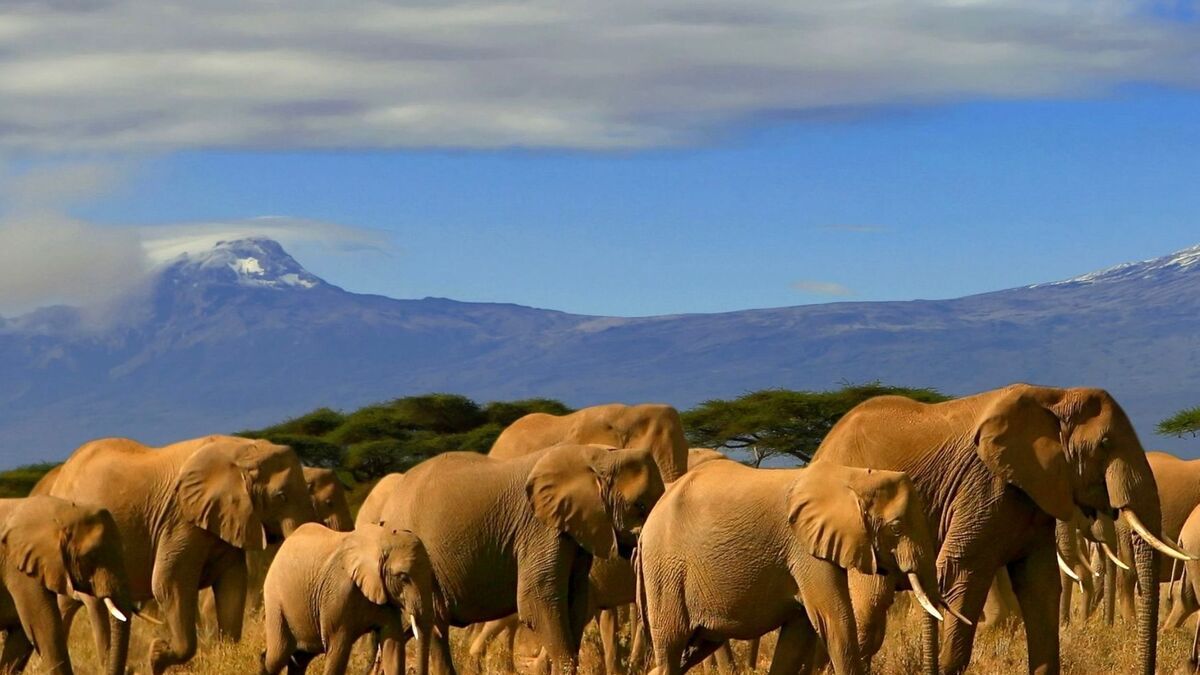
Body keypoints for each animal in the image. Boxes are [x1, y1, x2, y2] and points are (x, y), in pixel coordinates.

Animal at [37, 434, 318, 674]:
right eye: (280, 496)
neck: (245, 450)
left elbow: (233, 585)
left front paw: (227, 655)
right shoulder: (180, 519)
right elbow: (168, 583)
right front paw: (156, 656)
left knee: (65, 605)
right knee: (95, 606)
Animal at [261, 522, 434, 675]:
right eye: (403, 577)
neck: (382, 540)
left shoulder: (384, 595)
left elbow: (393, 646)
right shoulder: (337, 594)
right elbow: (337, 649)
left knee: (300, 659)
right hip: (275, 601)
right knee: (278, 655)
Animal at [367, 443, 664, 675]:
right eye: (639, 506)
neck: (597, 455)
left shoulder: (576, 531)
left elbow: (576, 603)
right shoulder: (539, 528)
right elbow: (537, 601)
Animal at [637, 460, 946, 675]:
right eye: (896, 528)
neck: (852, 476)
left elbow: (798, 634)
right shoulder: (804, 549)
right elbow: (834, 622)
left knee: (690, 650)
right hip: (665, 571)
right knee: (671, 646)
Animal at [810, 383, 1180, 675]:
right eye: (1104, 444)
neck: (1055, 396)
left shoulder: (1035, 493)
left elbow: (1041, 585)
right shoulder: (985, 485)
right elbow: (962, 572)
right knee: (869, 608)